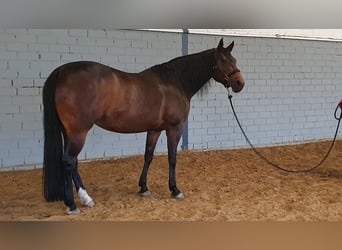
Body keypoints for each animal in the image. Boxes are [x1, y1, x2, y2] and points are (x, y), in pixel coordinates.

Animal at [42, 38, 244, 214]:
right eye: (224, 60)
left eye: (234, 60)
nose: (239, 83)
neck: (176, 81)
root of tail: (62, 71)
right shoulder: (175, 128)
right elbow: (172, 158)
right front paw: (175, 189)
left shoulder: (154, 129)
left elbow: (148, 156)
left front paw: (144, 187)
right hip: (79, 132)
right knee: (68, 162)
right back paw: (72, 204)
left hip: (69, 132)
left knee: (73, 163)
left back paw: (86, 198)